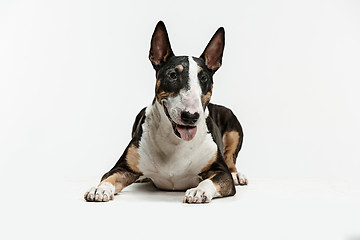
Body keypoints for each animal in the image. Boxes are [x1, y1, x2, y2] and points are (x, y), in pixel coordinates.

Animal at [84, 21, 248, 203]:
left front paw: (199, 191)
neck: (174, 141)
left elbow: (211, 180)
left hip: (233, 125)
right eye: (173, 75)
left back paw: (237, 175)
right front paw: (99, 189)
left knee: (231, 158)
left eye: (204, 78)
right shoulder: (122, 167)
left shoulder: (221, 171)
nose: (190, 117)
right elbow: (109, 177)